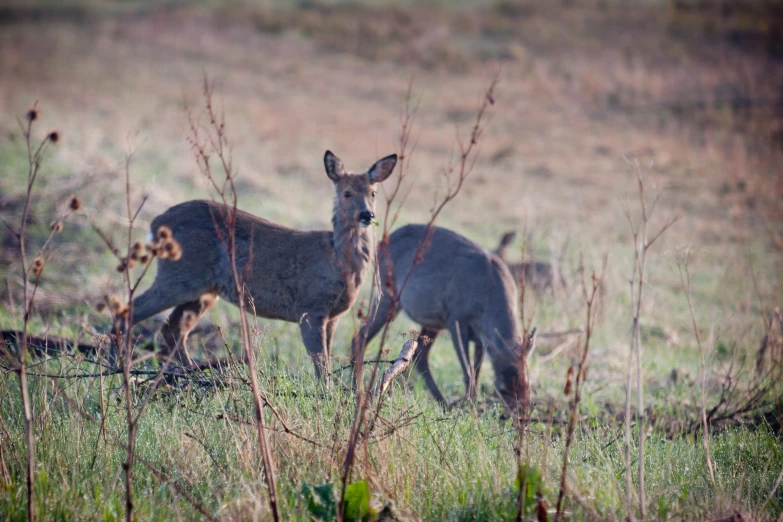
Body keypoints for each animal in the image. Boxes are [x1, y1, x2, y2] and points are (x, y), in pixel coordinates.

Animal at [115, 150, 398, 378]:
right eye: (347, 193)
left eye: (373, 193)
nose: (367, 214)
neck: (338, 260)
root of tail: (155, 224)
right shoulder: (310, 307)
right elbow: (320, 363)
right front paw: (326, 393)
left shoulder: (334, 316)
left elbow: (326, 359)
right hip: (179, 275)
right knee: (130, 311)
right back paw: (120, 367)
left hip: (203, 290)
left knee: (172, 328)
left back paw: (191, 373)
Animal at [352, 223, 536, 410]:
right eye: (502, 389)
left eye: (528, 387)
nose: (514, 413)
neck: (488, 295)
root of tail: (381, 243)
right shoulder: (456, 320)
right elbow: (467, 370)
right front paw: (470, 405)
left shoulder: (480, 336)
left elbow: (476, 371)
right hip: (387, 294)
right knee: (360, 337)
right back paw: (355, 390)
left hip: (432, 321)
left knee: (420, 354)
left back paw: (443, 402)